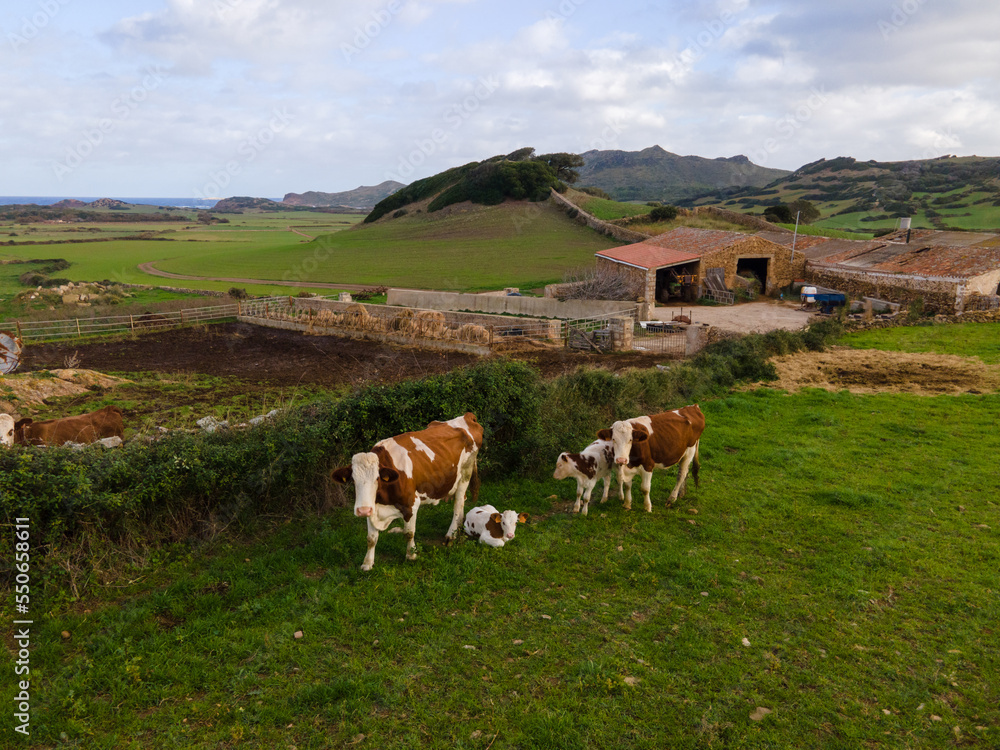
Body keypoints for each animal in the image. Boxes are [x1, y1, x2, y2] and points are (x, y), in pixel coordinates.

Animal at [332, 414, 484, 572]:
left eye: (377, 478)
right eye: (353, 480)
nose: (362, 510)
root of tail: (467, 416)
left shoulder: (411, 504)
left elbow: (409, 533)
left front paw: (411, 555)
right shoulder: (372, 507)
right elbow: (371, 538)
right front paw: (367, 563)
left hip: (465, 473)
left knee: (458, 503)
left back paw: (450, 536)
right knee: (462, 501)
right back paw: (458, 528)